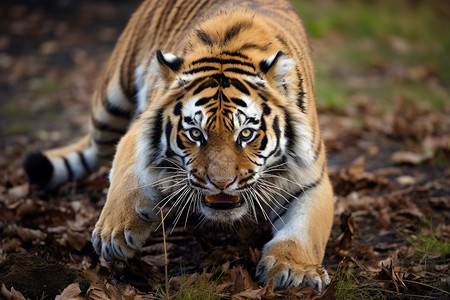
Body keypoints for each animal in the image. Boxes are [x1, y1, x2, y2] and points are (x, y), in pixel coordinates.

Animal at [24, 0, 334, 292]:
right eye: (195, 133)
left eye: (246, 133)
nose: (221, 183)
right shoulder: (138, 130)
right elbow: (128, 172)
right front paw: (113, 234)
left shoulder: (313, 178)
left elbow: (307, 229)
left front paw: (293, 270)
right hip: (109, 105)